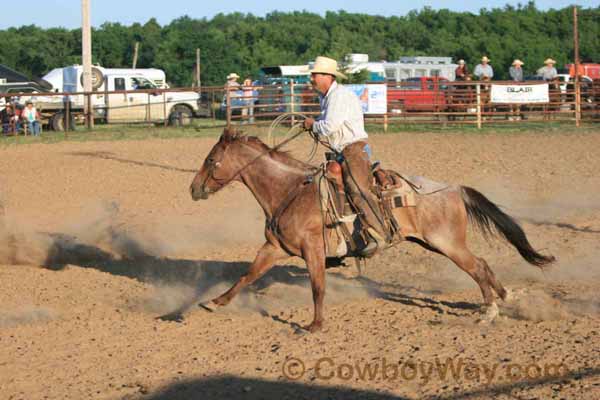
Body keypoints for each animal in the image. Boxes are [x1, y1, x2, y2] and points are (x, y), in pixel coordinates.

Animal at [190, 127, 556, 332]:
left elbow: (317, 287)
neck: (289, 190)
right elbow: (247, 275)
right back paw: (506, 298)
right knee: (482, 265)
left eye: (210, 160)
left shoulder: (313, 250)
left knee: (477, 266)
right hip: (434, 243)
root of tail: (454, 188)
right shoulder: (275, 248)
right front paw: (215, 302)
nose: (193, 189)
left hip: (447, 243)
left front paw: (315, 325)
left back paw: (489, 311)